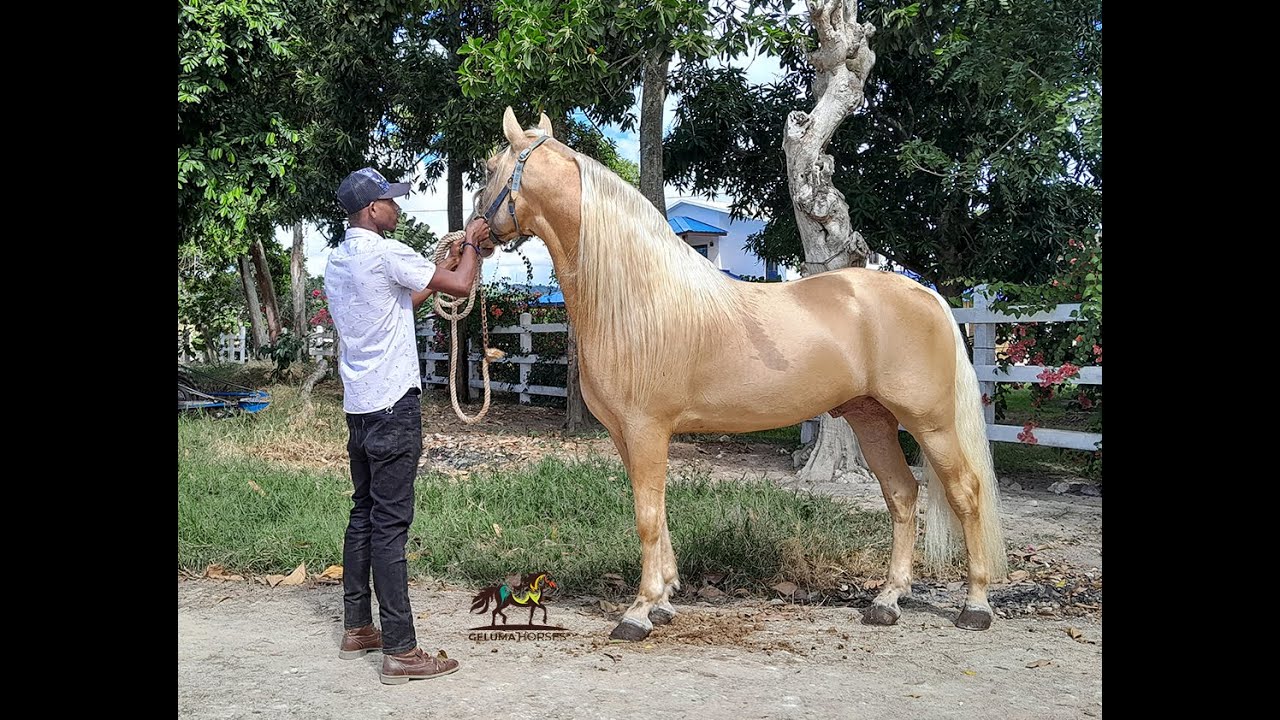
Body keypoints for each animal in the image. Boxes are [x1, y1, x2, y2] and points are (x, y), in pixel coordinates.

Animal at [473, 107, 1006, 642]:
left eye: (489, 169)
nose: (470, 236)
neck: (639, 298)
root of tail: (927, 295)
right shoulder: (628, 435)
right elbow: (658, 512)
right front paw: (664, 600)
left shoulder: (647, 429)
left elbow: (647, 516)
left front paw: (639, 611)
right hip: (871, 418)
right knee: (901, 494)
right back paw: (888, 600)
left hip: (931, 423)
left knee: (965, 494)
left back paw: (976, 605)